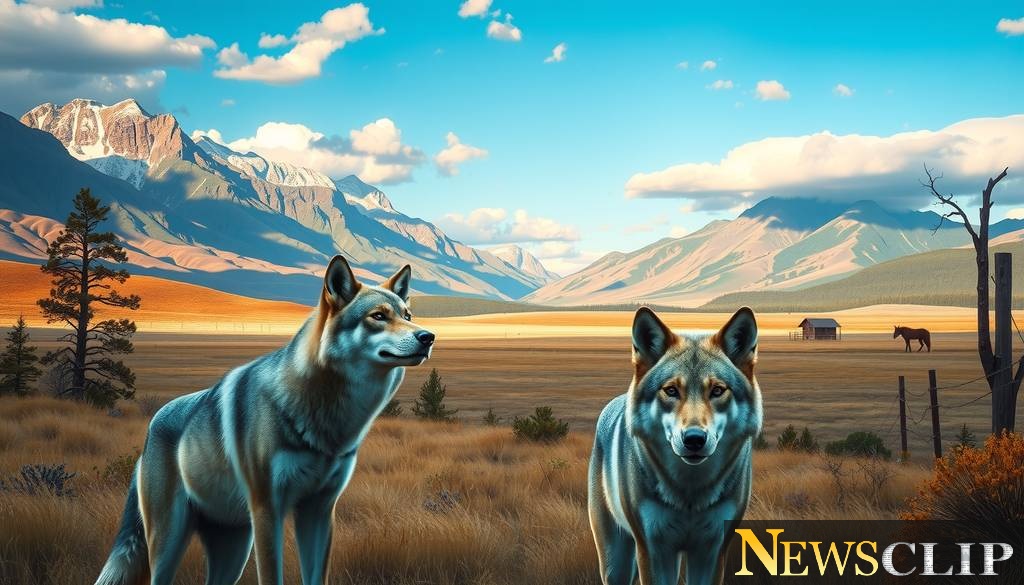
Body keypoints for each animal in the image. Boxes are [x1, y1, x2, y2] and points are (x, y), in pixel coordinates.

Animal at [95, 256, 435, 585]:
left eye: (407, 315)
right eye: (378, 316)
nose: (428, 336)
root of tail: (151, 427)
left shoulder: (320, 511)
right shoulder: (267, 510)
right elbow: (272, 576)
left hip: (233, 552)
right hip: (169, 543)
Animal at [588, 307, 762, 585]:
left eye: (717, 390)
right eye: (671, 390)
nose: (694, 439)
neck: (690, 493)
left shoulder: (712, 551)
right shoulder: (653, 550)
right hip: (616, 563)